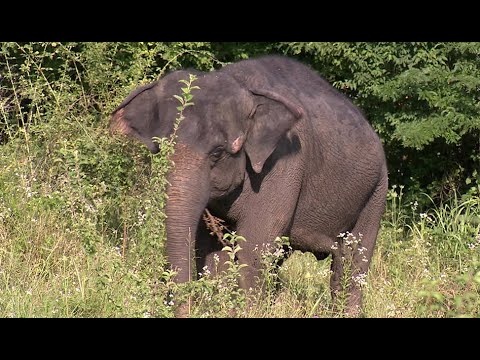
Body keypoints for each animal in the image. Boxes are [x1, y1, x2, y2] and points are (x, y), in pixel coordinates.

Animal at [110, 54, 388, 316]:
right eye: (160, 148)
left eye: (218, 152)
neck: (241, 85)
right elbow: (213, 248)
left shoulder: (282, 164)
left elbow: (255, 244)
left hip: (376, 191)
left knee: (352, 262)